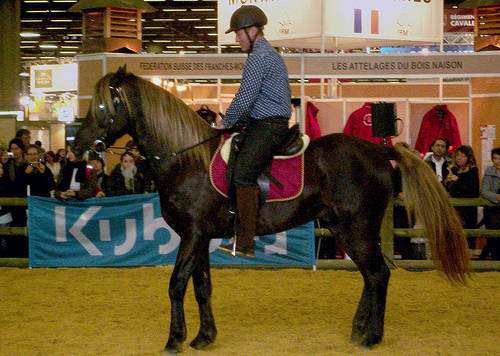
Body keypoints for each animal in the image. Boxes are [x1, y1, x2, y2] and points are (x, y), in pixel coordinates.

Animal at [73, 68, 468, 352]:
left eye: (105, 105)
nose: (78, 146)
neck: (186, 160)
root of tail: (378, 150)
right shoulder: (199, 237)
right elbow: (202, 286)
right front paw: (204, 337)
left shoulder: (193, 235)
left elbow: (177, 284)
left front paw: (174, 340)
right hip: (343, 228)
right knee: (371, 275)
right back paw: (359, 330)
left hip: (357, 229)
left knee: (378, 274)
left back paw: (372, 337)